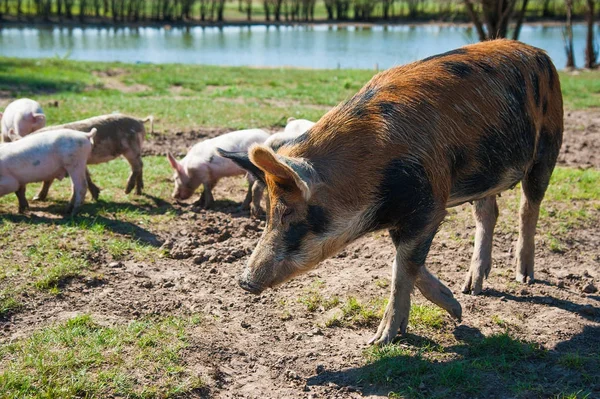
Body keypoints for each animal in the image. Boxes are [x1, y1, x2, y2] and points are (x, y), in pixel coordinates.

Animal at [220, 41, 564, 346]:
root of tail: (541, 53)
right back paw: (472, 288)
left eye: (292, 215)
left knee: (528, 207)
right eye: (268, 214)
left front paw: (379, 340)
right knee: (488, 213)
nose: (245, 281)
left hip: (548, 145)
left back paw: (524, 277)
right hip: (486, 172)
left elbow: (402, 268)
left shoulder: (429, 205)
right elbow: (405, 261)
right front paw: (457, 310)